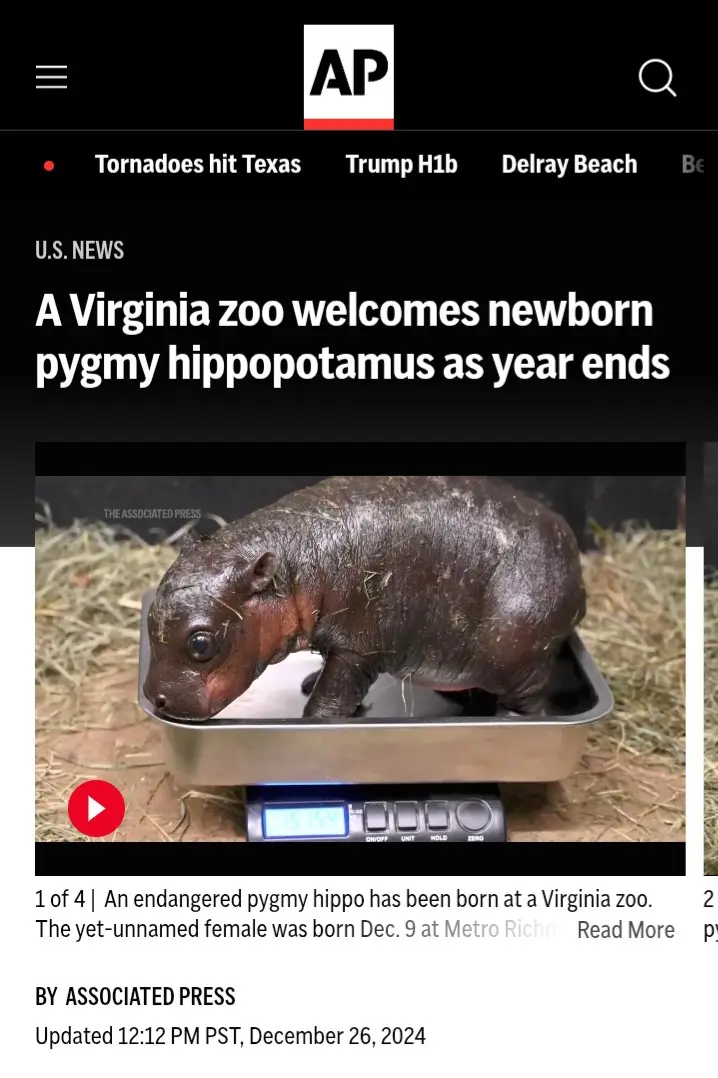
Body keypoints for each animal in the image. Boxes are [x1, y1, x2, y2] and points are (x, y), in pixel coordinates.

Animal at [143, 476, 586, 722]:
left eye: (201, 643)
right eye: (149, 618)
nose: (153, 699)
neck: (292, 563)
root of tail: (575, 566)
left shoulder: (357, 649)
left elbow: (333, 696)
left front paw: (313, 717)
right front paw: (309, 681)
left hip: (517, 652)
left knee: (529, 701)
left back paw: (509, 718)